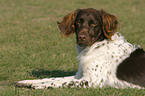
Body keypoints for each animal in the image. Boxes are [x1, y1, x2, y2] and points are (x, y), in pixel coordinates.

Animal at [15, 7, 145, 89]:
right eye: (78, 22)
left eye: (94, 23)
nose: (81, 37)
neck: (95, 46)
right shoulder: (79, 75)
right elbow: (53, 79)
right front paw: (26, 82)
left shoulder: (91, 81)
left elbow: (61, 83)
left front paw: (37, 86)